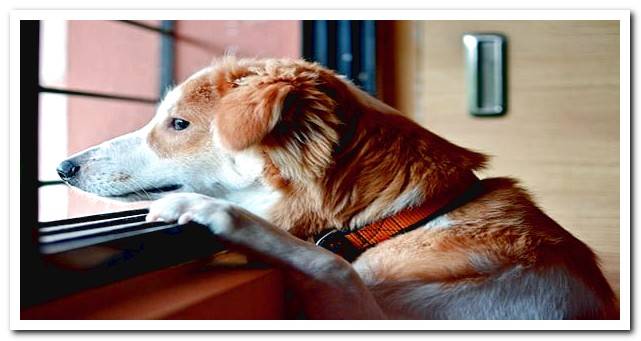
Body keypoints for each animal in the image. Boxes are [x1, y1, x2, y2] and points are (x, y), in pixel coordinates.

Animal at [57, 56, 616, 318]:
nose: (63, 167)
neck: (405, 218)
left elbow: (330, 265)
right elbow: (333, 264)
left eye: (177, 124)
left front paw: (209, 211)